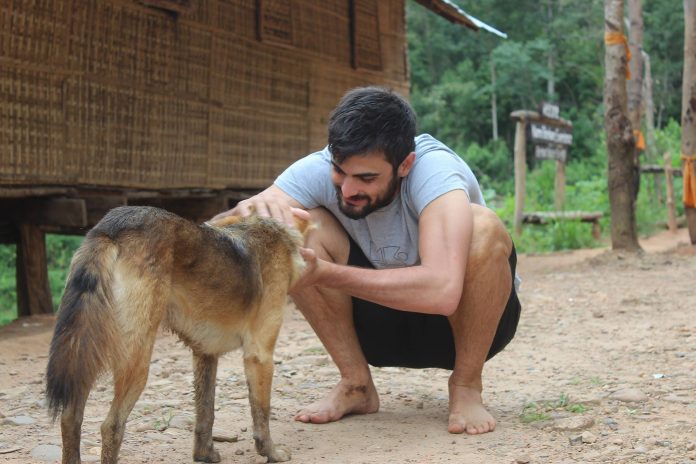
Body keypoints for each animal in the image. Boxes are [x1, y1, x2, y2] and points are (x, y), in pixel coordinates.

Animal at [44, 207, 308, 464]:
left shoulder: (205, 354)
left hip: (83, 358)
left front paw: (204, 455)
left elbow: (206, 414)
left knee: (70, 419)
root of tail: (111, 227)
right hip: (136, 364)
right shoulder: (259, 355)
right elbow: (262, 414)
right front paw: (272, 453)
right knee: (111, 426)